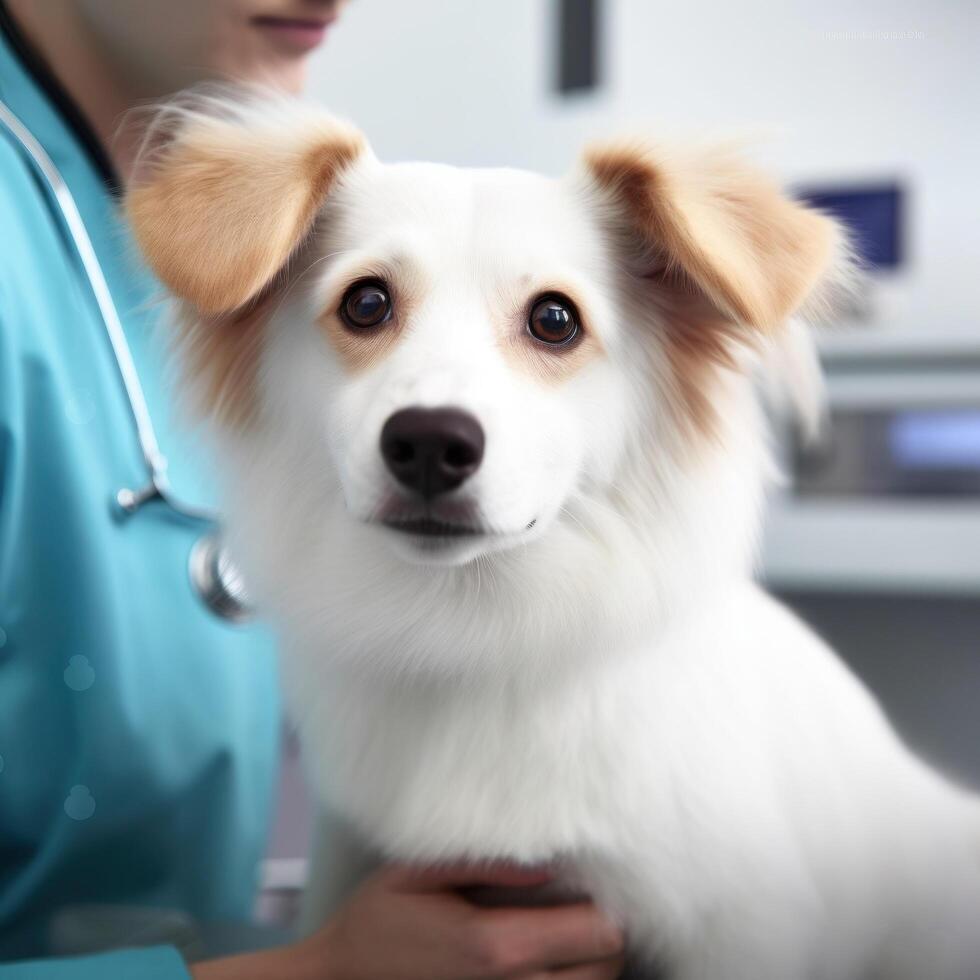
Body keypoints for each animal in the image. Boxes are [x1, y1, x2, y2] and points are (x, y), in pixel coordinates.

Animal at [126, 88, 980, 976]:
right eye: (365, 303)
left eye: (555, 320)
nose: (428, 441)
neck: (473, 631)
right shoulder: (347, 859)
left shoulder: (743, 927)